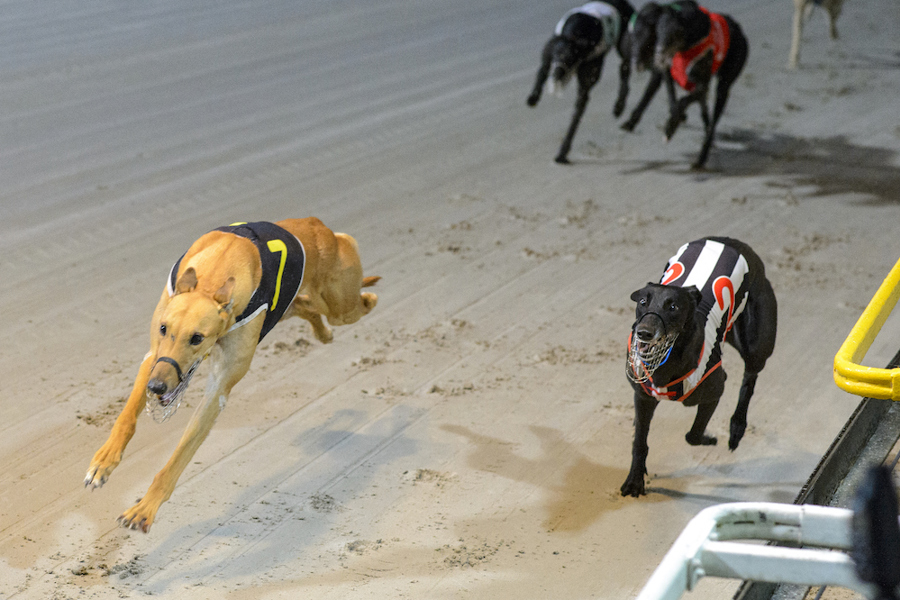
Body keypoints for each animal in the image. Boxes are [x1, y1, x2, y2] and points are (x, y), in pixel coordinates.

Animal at [84, 218, 379, 532]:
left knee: (354, 299)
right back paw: (323, 332)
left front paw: (144, 509)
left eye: (197, 338)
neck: (215, 273)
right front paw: (103, 462)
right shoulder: (154, 357)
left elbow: (178, 457)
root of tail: (318, 226)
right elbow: (127, 416)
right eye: (164, 328)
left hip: (341, 305)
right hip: (300, 308)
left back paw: (366, 293)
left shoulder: (218, 389)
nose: (157, 387)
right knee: (306, 306)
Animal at [526, 0, 635, 164]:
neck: (576, 32)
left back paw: (619, 105)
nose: (557, 74)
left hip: (624, 44)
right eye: (556, 56)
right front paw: (533, 97)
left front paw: (563, 151)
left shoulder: (586, 81)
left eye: (571, 59)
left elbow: (576, 116)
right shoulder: (549, 52)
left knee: (625, 69)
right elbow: (542, 72)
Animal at [621, 237, 777, 497]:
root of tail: (732, 242)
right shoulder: (643, 398)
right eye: (643, 301)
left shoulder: (714, 392)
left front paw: (710, 439)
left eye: (673, 307)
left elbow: (693, 435)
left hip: (757, 343)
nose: (644, 332)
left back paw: (737, 427)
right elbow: (639, 442)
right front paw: (634, 480)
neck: (668, 361)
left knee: (750, 377)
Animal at [652, 1, 749, 169]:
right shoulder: (669, 73)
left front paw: (669, 128)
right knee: (704, 113)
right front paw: (675, 121)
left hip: (724, 85)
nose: (658, 56)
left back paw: (702, 158)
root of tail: (739, 29)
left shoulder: (701, 84)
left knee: (713, 120)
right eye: (659, 28)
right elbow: (673, 100)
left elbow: (682, 101)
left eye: (675, 31)